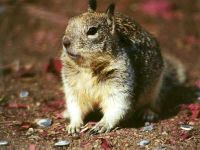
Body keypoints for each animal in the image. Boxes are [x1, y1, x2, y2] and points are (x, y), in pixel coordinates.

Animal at [60, 0, 185, 134]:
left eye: (92, 30)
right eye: (69, 22)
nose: (65, 42)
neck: (88, 67)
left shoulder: (120, 81)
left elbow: (117, 105)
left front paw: (102, 124)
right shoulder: (73, 87)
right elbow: (75, 105)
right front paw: (74, 124)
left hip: (156, 87)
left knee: (156, 103)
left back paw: (148, 112)